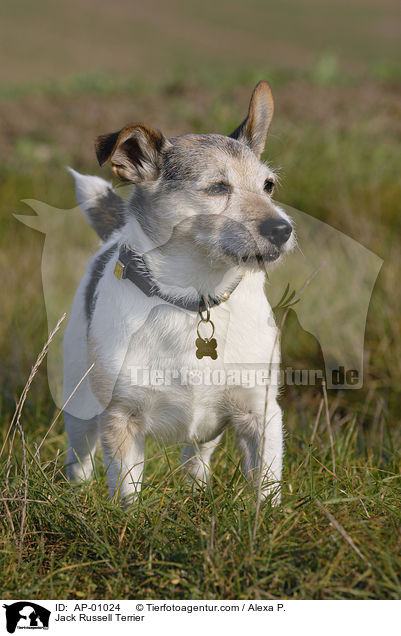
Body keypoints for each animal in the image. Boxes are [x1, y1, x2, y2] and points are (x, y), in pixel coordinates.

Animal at [63, 80, 294, 506]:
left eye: (269, 186)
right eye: (217, 188)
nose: (283, 229)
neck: (194, 300)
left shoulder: (261, 414)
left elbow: (266, 485)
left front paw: (265, 518)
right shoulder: (120, 419)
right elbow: (128, 492)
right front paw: (129, 517)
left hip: (206, 430)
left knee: (196, 457)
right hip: (79, 408)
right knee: (79, 460)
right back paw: (77, 495)